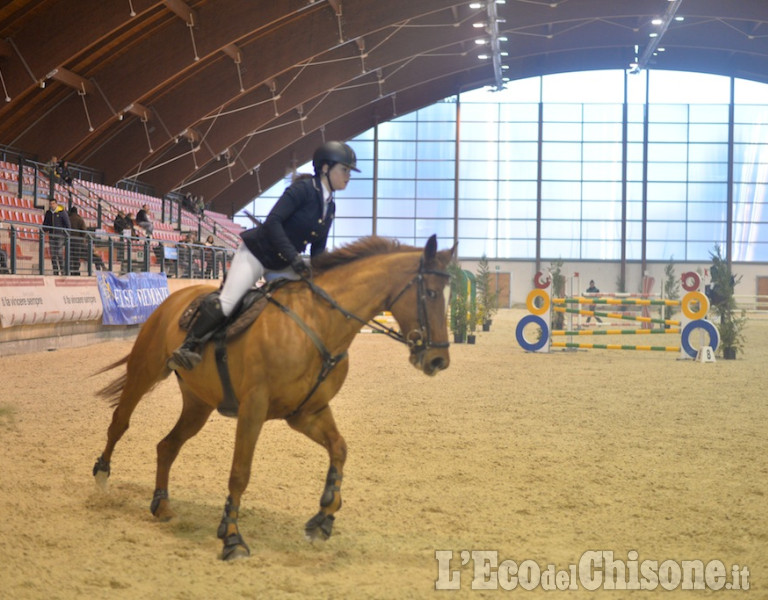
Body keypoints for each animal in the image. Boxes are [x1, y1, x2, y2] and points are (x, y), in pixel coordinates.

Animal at [95, 233, 456, 556]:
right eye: (431, 293)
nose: (438, 360)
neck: (320, 322)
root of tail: (176, 297)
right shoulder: (253, 408)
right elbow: (240, 472)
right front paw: (232, 538)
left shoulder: (307, 412)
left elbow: (339, 449)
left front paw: (323, 518)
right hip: (145, 371)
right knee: (120, 421)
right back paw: (101, 475)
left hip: (199, 403)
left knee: (167, 446)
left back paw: (162, 505)